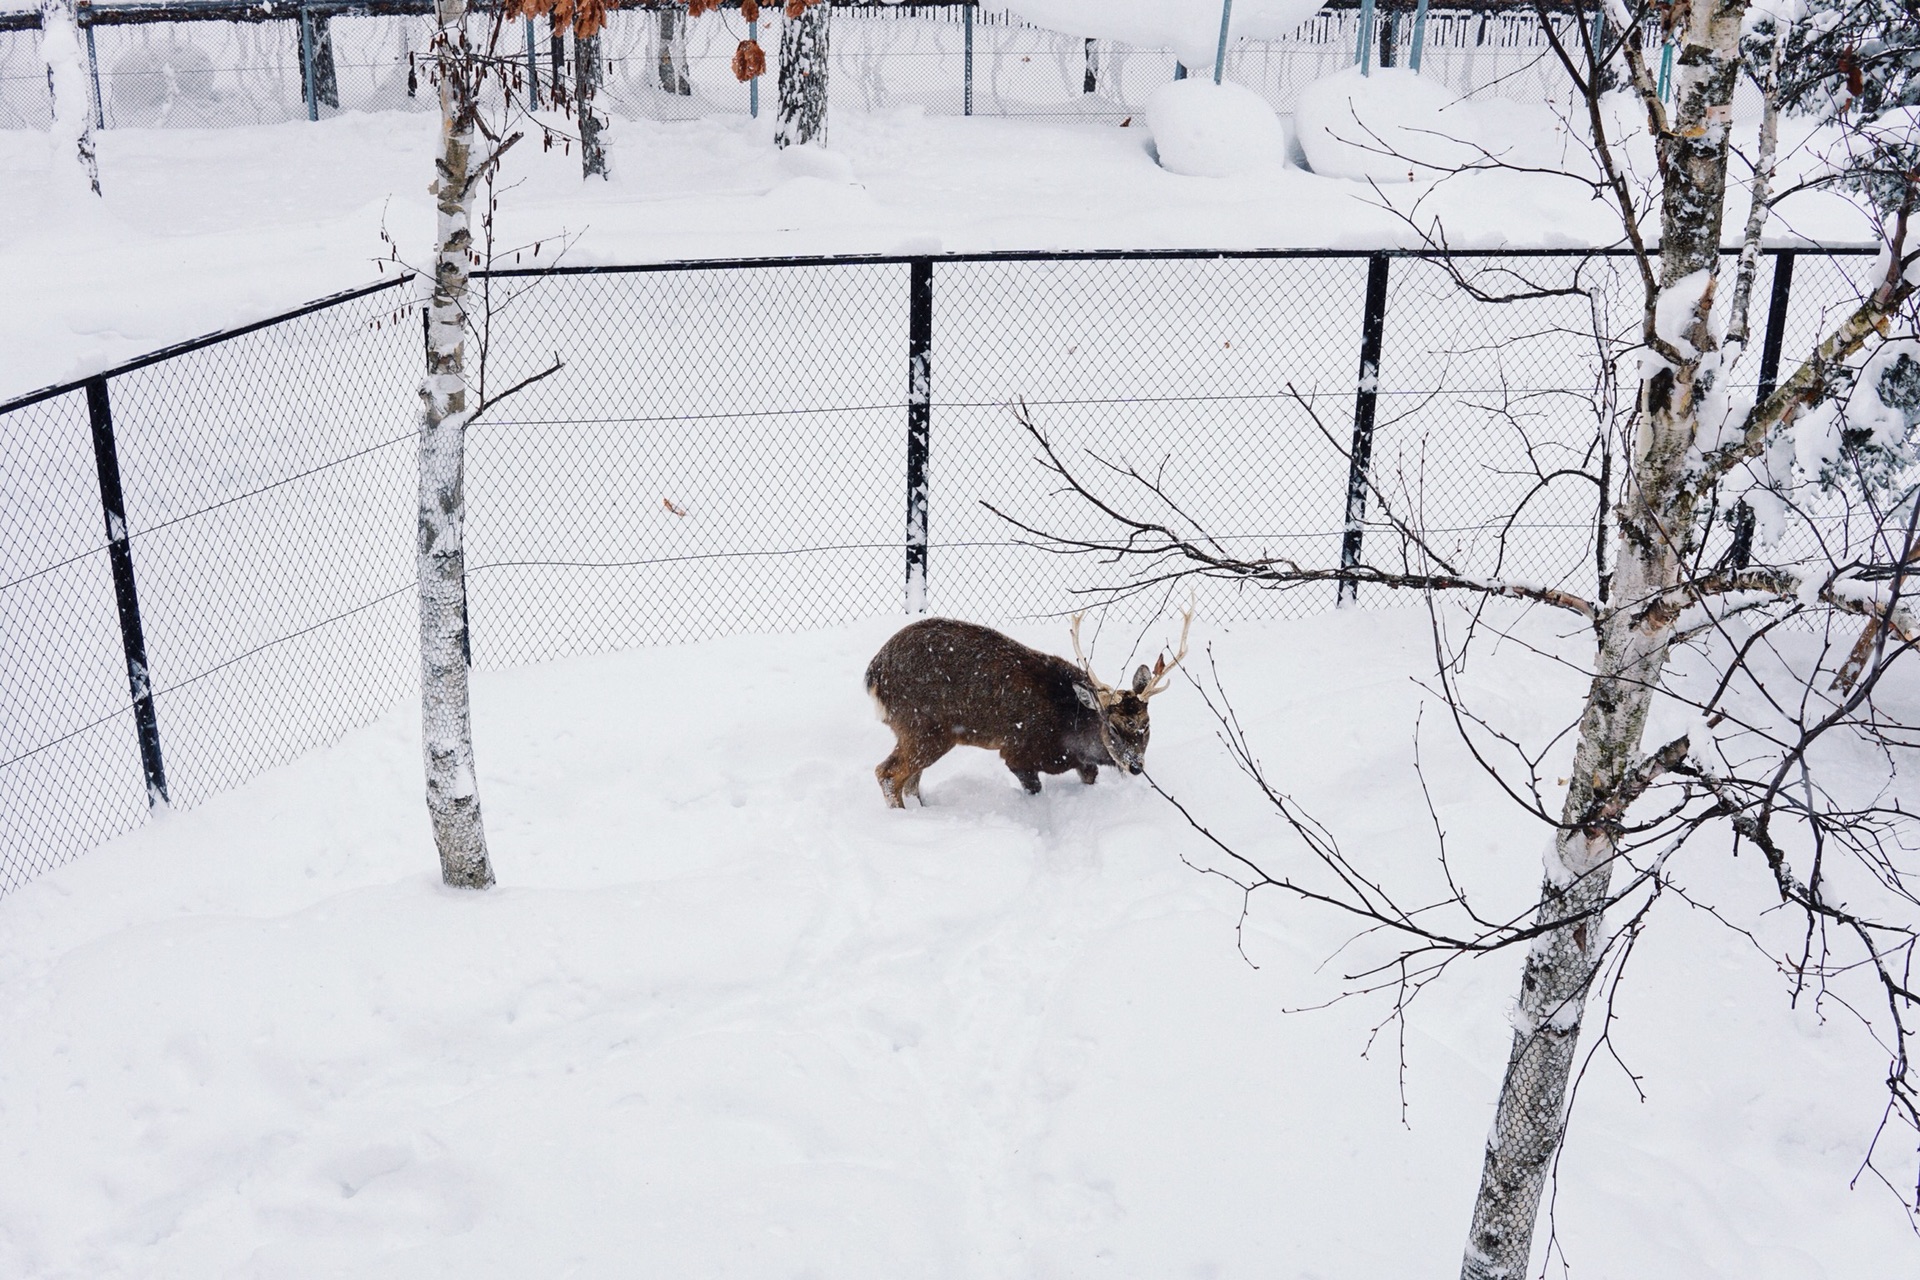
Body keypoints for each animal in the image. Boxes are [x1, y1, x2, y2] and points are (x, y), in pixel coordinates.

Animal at [860, 606, 1182, 805]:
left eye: (1146, 725)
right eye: (1112, 728)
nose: (1135, 766)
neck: (1070, 732)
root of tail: (874, 674)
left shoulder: (1083, 764)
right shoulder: (1017, 751)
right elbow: (1034, 788)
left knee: (910, 781)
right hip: (924, 726)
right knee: (887, 773)